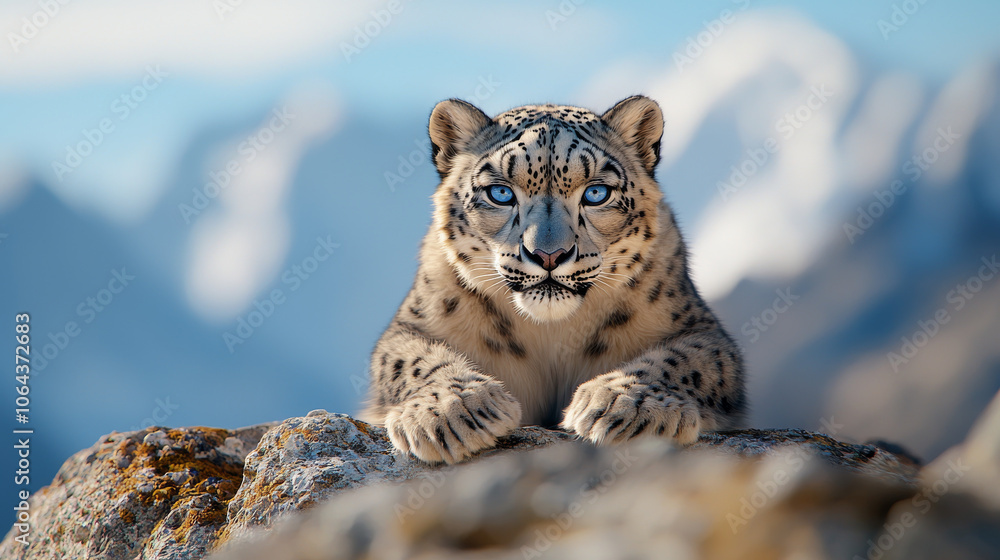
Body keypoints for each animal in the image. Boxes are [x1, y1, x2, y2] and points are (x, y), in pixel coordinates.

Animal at [359, 95, 747, 464]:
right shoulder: (413, 325)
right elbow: (411, 358)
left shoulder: (701, 329)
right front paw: (454, 409)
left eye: (596, 193)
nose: (549, 255)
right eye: (500, 193)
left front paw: (626, 404)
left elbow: (688, 360)